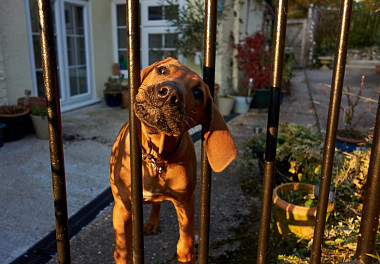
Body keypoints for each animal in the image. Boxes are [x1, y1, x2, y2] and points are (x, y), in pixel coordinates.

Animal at [108, 57, 236, 262]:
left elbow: (185, 244)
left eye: (198, 93)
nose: (169, 93)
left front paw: (188, 245)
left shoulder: (185, 200)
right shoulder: (122, 206)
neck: (155, 157)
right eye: (162, 70)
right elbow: (123, 251)